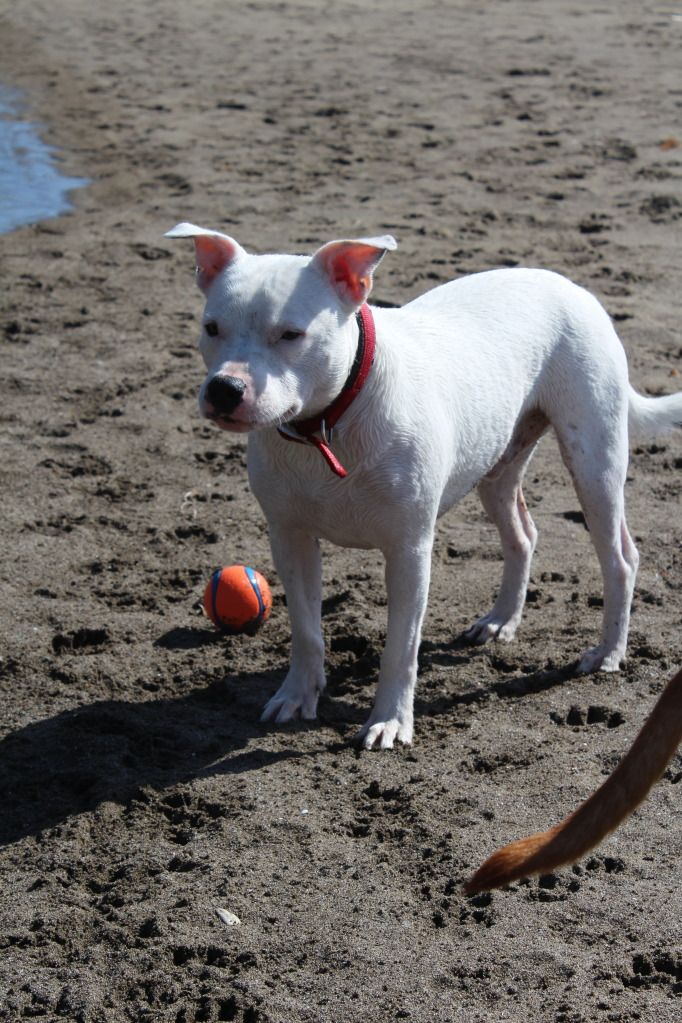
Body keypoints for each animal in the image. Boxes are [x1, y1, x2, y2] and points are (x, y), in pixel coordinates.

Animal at [166, 226, 682, 752]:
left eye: (291, 334)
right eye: (211, 327)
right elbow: (307, 631)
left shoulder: (408, 550)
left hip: (594, 462)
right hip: (497, 464)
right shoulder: (290, 539)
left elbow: (400, 646)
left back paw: (608, 652)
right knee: (522, 535)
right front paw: (296, 697)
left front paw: (390, 722)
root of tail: (571, 286)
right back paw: (502, 619)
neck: (329, 423)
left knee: (620, 558)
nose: (225, 388)